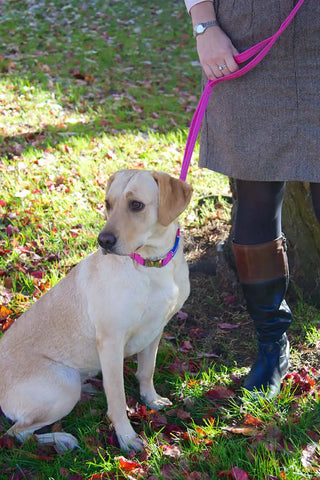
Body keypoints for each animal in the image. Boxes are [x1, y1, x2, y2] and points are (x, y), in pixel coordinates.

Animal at [0, 170, 191, 454]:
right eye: (108, 203)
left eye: (136, 205)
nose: (103, 241)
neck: (152, 266)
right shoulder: (110, 343)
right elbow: (117, 397)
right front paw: (126, 437)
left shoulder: (155, 330)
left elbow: (147, 371)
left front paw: (151, 399)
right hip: (64, 386)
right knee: (17, 434)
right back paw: (62, 439)